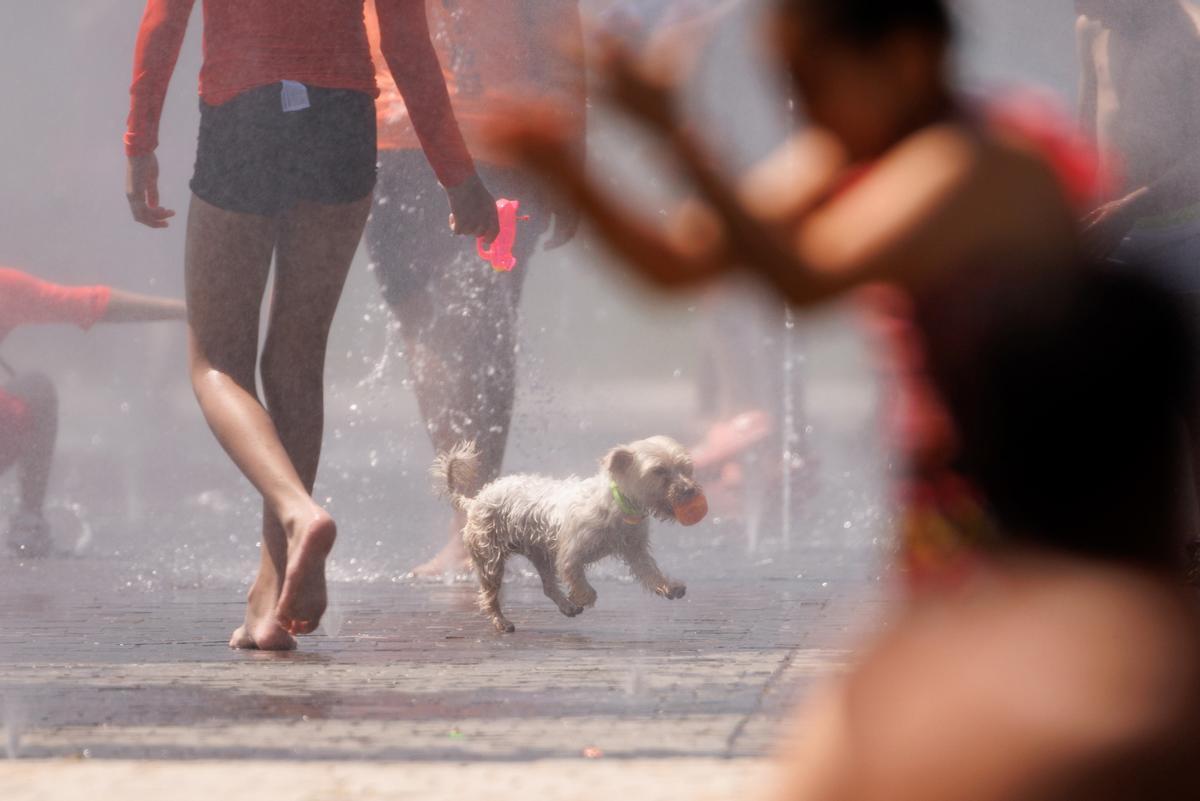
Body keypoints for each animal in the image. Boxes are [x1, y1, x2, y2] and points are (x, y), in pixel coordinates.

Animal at [434, 438, 705, 633]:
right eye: (659, 471)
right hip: (490, 558)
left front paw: (669, 587)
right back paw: (502, 622)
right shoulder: (571, 555)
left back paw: (565, 606)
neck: (618, 507)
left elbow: (650, 573)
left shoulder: (634, 550)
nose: (689, 490)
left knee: (548, 586)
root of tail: (475, 500)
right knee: (490, 595)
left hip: (540, 554)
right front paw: (582, 597)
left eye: (685, 468)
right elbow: (582, 583)